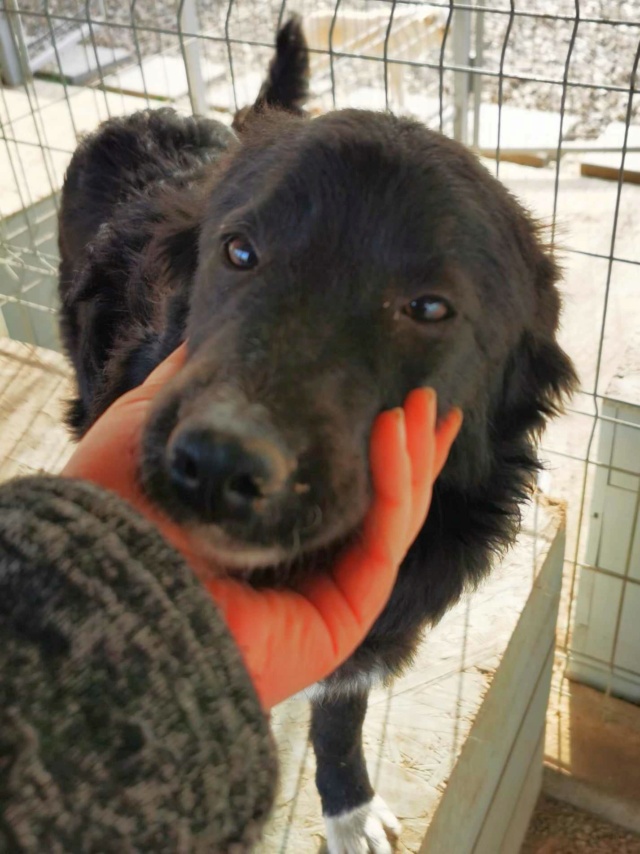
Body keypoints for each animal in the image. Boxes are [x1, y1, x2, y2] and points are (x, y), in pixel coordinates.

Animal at [57, 18, 576, 854]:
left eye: (429, 308)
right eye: (239, 251)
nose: (217, 465)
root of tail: (136, 118)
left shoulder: (369, 635)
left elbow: (339, 718)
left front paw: (349, 809)